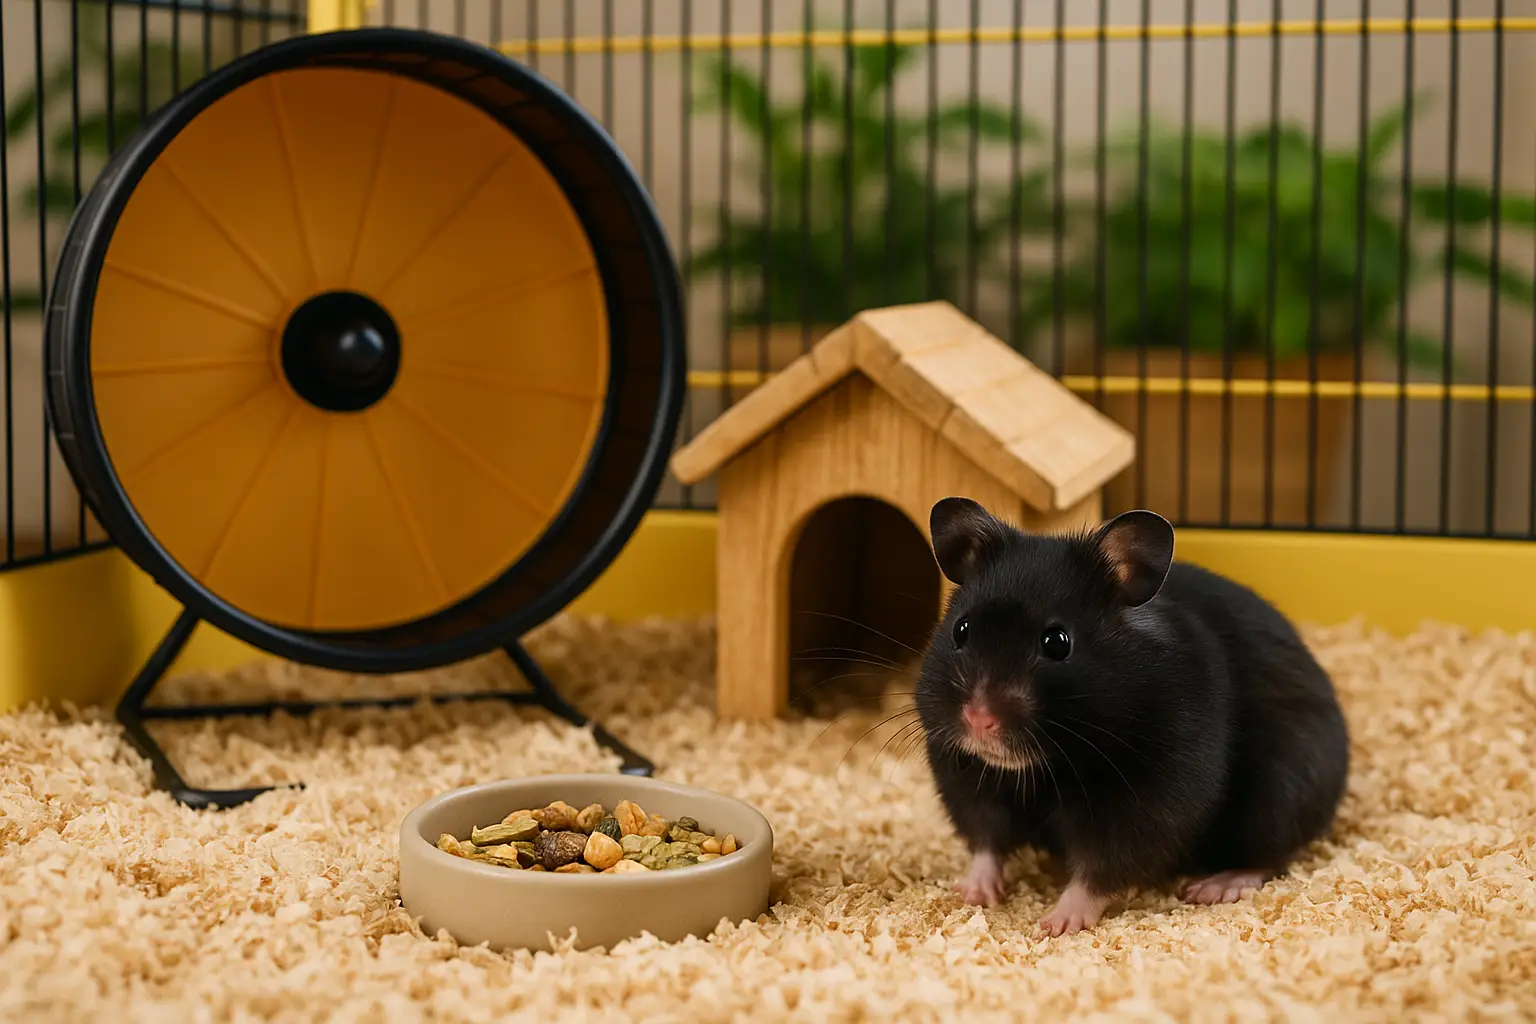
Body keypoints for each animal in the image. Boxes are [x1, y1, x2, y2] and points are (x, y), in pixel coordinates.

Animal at [914, 496, 1349, 936]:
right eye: (961, 630)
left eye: (1057, 642)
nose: (979, 720)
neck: (1046, 767)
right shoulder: (966, 778)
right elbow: (986, 841)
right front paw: (970, 895)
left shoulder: (1149, 802)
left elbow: (1101, 868)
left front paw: (1056, 924)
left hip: (1278, 799)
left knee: (1269, 856)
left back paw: (1211, 887)